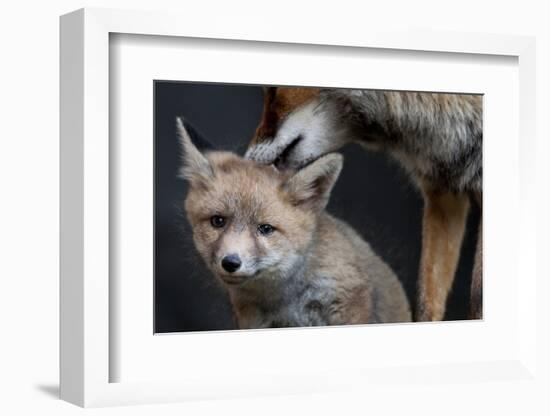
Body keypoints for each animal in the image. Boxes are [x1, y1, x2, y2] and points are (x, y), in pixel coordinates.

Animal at [179, 118, 412, 330]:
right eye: (218, 221)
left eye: (265, 229)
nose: (230, 263)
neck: (285, 298)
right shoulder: (252, 318)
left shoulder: (351, 301)